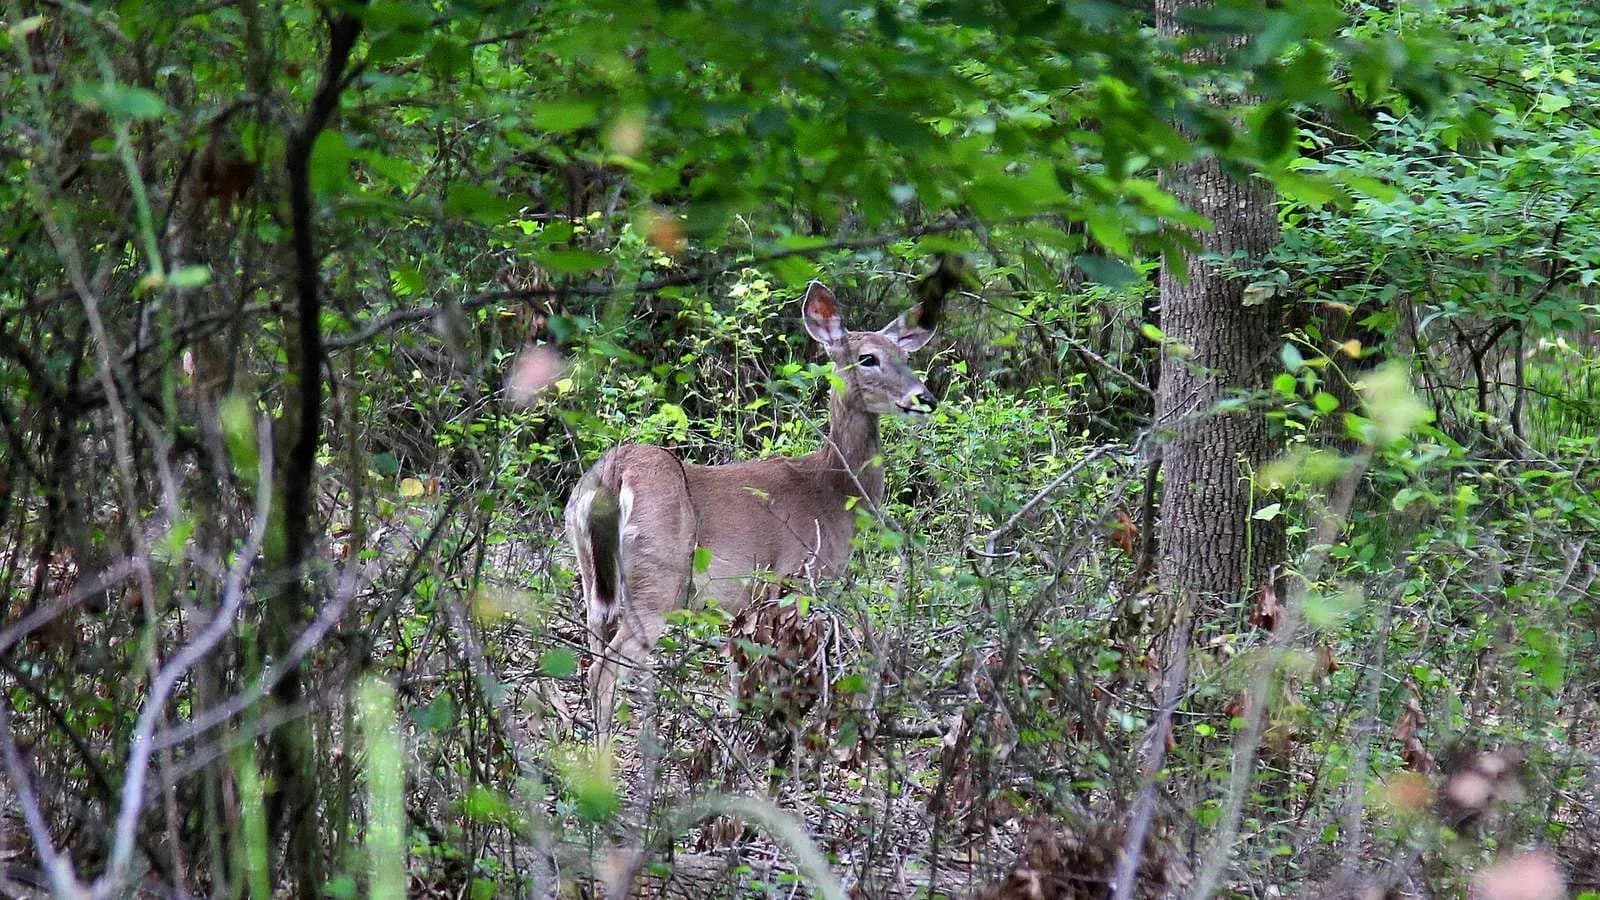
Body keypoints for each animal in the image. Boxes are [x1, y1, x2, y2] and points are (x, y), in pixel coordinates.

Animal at [565, 259, 960, 741]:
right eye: (868, 357)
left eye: (906, 356)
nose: (925, 398)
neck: (833, 488)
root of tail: (612, 474)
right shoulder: (796, 580)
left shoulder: (741, 608)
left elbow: (739, 683)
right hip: (658, 578)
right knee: (603, 671)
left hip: (592, 578)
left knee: (591, 656)